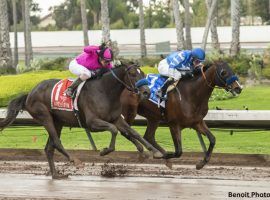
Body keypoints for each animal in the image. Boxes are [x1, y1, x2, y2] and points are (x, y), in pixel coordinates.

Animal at [0, 63, 161, 179]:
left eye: (143, 74)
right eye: (133, 74)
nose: (146, 92)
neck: (105, 91)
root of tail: (29, 94)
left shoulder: (116, 119)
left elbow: (133, 132)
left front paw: (153, 152)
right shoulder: (92, 123)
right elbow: (114, 130)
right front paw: (104, 151)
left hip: (58, 121)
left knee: (49, 148)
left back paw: (56, 175)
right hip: (45, 117)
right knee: (56, 142)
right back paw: (75, 160)